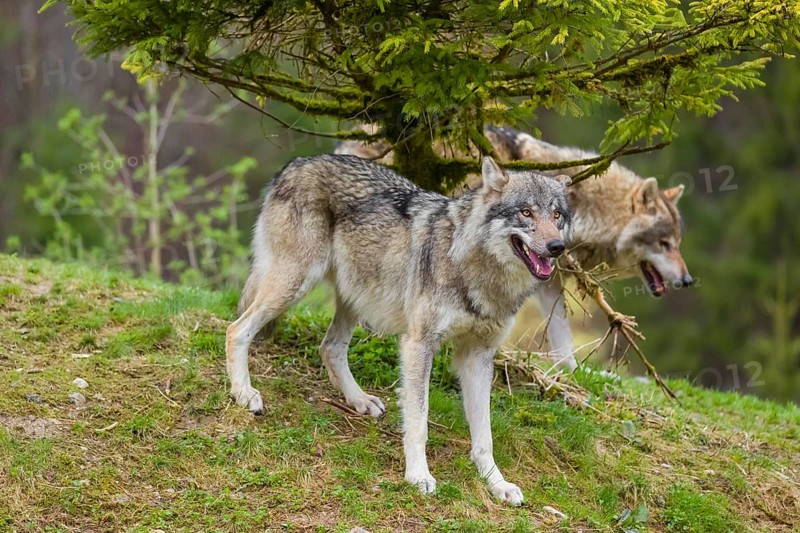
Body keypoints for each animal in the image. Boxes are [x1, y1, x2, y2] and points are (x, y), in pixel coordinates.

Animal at [227, 154, 571, 505]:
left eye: (557, 214)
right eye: (526, 212)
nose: (557, 246)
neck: (472, 267)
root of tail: (294, 164)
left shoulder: (478, 355)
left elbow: (484, 436)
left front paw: (497, 483)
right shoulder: (418, 344)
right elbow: (418, 421)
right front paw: (418, 476)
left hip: (357, 296)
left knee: (330, 347)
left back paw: (359, 400)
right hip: (296, 284)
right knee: (236, 329)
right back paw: (245, 394)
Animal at [336, 126, 692, 371]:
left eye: (677, 244)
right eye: (664, 244)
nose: (688, 281)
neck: (586, 208)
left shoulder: (550, 278)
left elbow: (561, 338)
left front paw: (571, 376)